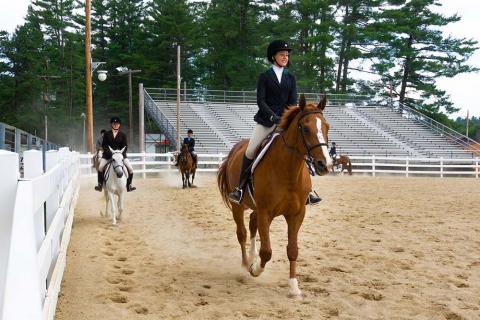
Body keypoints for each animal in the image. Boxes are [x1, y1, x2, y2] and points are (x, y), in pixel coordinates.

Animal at [219, 95, 332, 298]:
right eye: (305, 128)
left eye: (327, 127)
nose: (324, 165)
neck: (288, 170)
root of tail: (236, 149)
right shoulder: (266, 212)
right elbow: (267, 251)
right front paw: (255, 269)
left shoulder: (296, 214)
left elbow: (292, 250)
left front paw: (294, 287)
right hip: (238, 207)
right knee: (242, 233)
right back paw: (245, 264)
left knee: (252, 224)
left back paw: (251, 257)